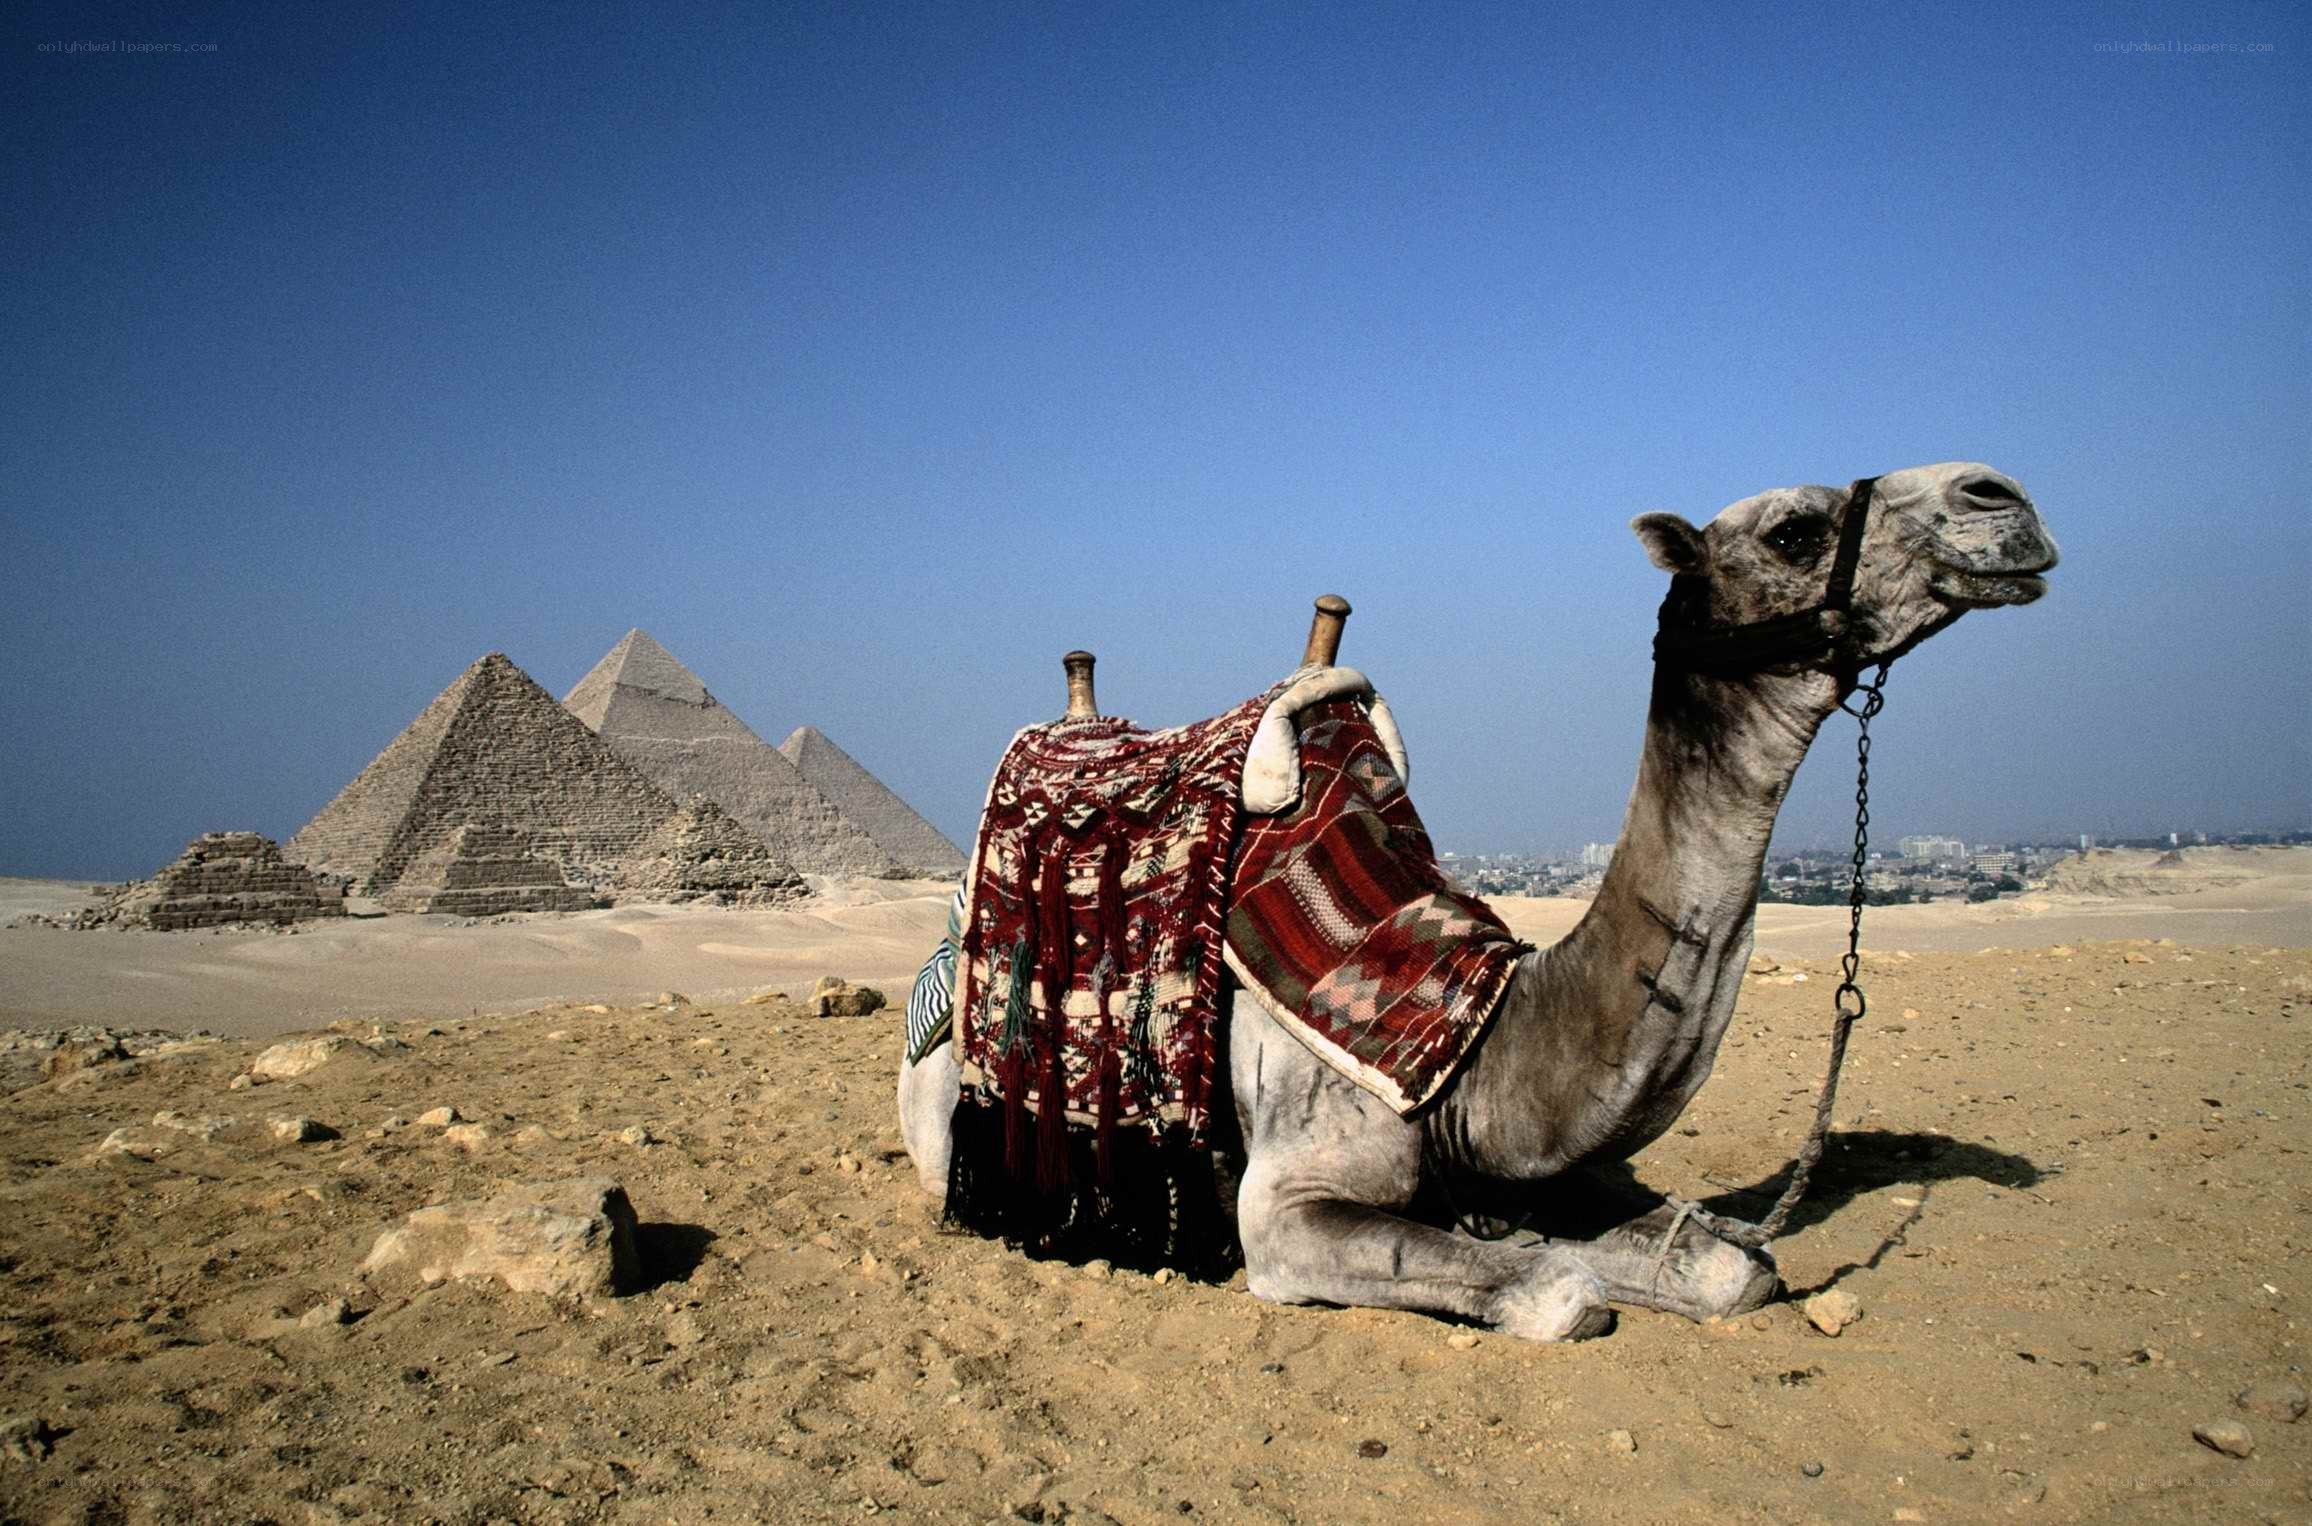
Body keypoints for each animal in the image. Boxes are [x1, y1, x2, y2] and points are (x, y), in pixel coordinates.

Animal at [900, 461, 2058, 1340]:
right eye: (1794, 530)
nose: (1999, 496)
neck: (1473, 1039)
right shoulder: (1284, 1207)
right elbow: (1558, 1286)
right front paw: (1540, 1259)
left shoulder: (1559, 1168)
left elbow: (1727, 1269)